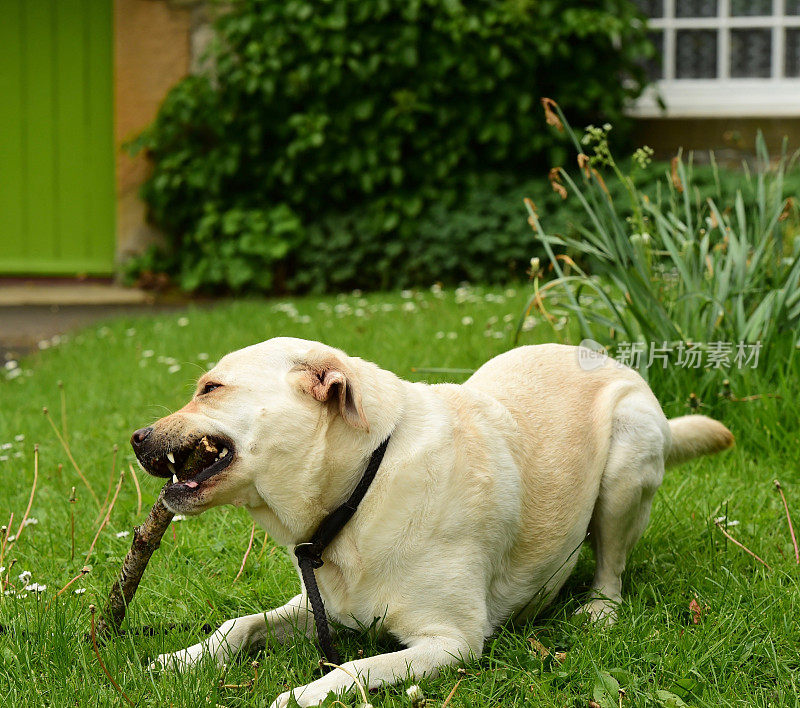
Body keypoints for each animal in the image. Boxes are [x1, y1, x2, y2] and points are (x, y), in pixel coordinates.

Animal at [134, 338, 736, 708]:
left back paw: (599, 610)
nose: (137, 438)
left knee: (611, 564)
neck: (363, 485)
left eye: (210, 388)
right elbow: (238, 625)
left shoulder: (451, 642)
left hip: (628, 455)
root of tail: (610, 359)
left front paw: (299, 696)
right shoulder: (320, 607)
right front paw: (181, 659)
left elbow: (351, 670)